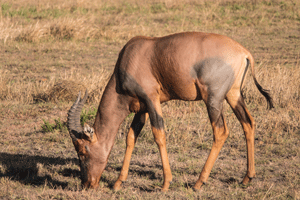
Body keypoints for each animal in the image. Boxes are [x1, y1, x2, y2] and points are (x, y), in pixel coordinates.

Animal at [67, 31, 274, 191]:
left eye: (82, 151)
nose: (87, 184)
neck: (133, 56)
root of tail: (244, 53)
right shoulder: (142, 108)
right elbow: (131, 137)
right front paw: (118, 182)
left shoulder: (152, 100)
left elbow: (159, 135)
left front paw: (165, 183)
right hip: (234, 94)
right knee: (248, 123)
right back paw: (247, 178)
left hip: (213, 99)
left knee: (221, 132)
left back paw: (198, 183)